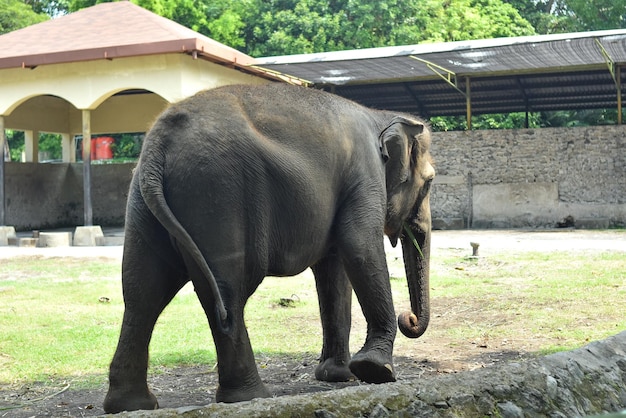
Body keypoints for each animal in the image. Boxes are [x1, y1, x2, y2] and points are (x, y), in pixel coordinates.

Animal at [102, 81, 434, 412]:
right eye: (430, 181)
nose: (409, 318)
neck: (380, 115)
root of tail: (159, 143)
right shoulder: (365, 176)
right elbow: (359, 248)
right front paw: (376, 371)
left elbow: (334, 270)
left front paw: (337, 376)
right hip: (220, 192)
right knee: (228, 291)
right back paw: (251, 396)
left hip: (145, 203)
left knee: (143, 291)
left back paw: (131, 404)